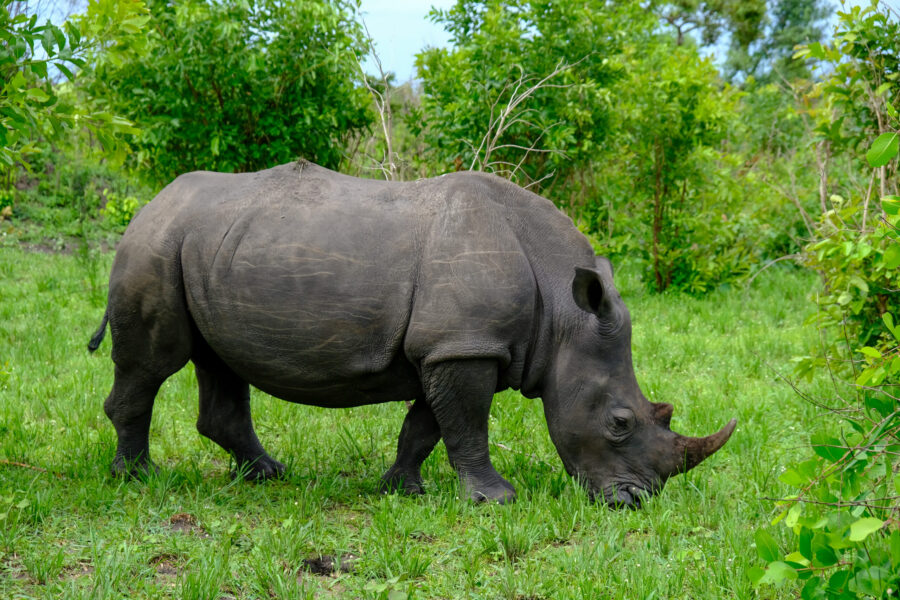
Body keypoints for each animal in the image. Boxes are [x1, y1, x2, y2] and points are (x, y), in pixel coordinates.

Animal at [88, 160, 735, 507]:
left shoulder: (449, 346)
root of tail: (150, 203)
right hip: (154, 245)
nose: (635, 501)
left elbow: (425, 427)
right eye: (620, 423)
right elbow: (467, 426)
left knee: (221, 364)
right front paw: (497, 500)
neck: (563, 312)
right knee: (153, 364)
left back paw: (268, 475)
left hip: (206, 246)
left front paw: (402, 490)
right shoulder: (464, 347)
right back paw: (137, 479)